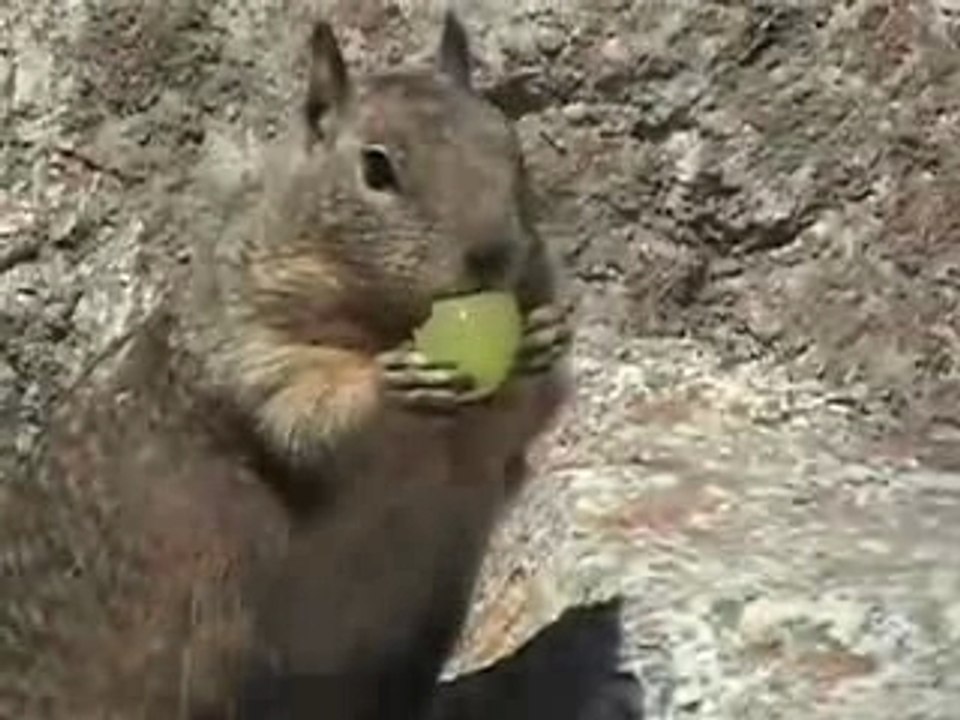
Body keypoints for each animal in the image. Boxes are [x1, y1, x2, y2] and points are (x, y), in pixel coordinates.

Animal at [1, 10, 641, 720]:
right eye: (376, 167)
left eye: (513, 150)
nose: (494, 253)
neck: (384, 321)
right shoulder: (252, 348)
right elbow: (306, 411)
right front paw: (389, 384)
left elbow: (530, 413)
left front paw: (543, 337)